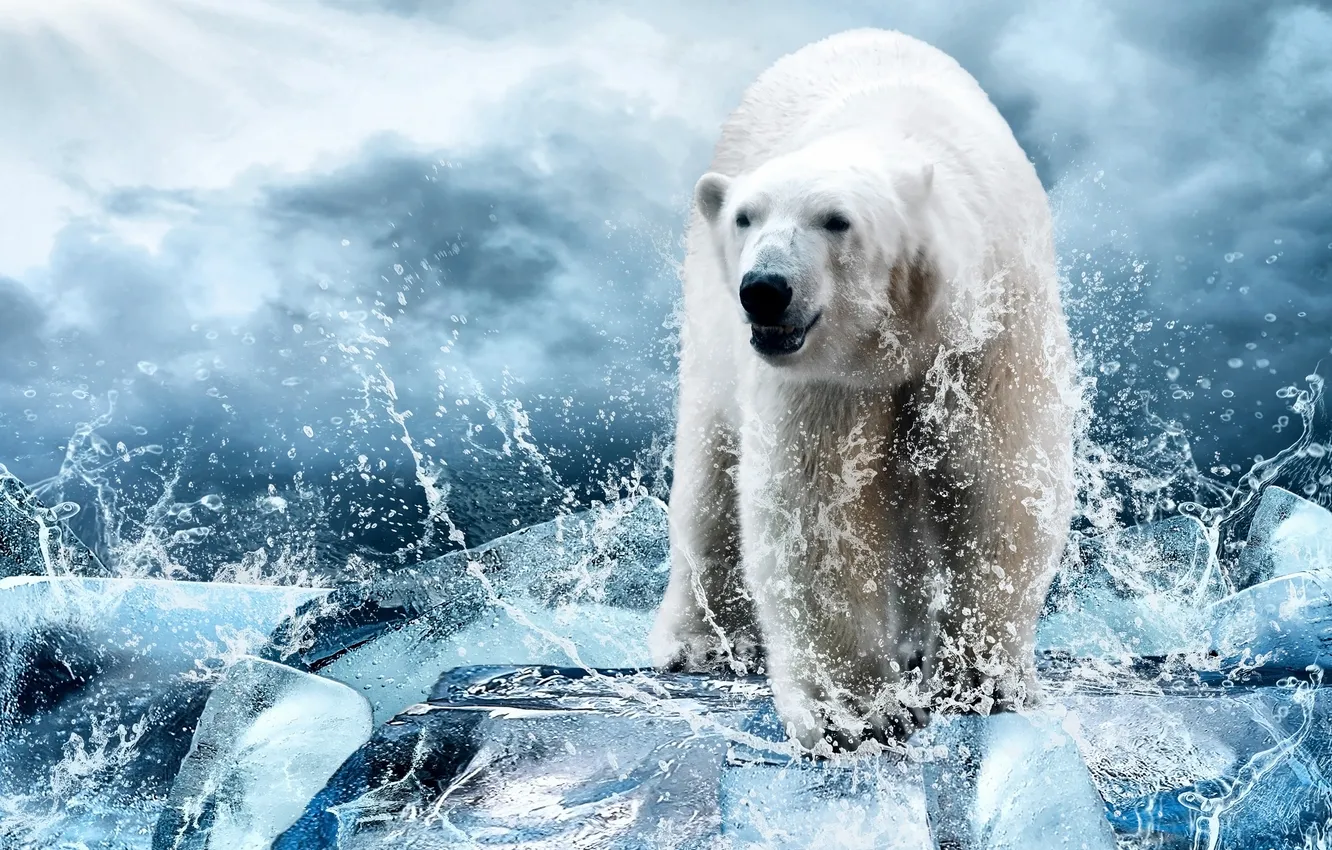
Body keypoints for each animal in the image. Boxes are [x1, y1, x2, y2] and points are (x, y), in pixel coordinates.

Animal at [649, 28, 1078, 753]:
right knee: (710, 476)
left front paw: (978, 680)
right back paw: (704, 641)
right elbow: (818, 507)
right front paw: (857, 712)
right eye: (745, 217)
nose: (765, 289)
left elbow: (1000, 480)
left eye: (835, 219)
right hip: (709, 328)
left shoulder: (992, 327)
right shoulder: (825, 377)